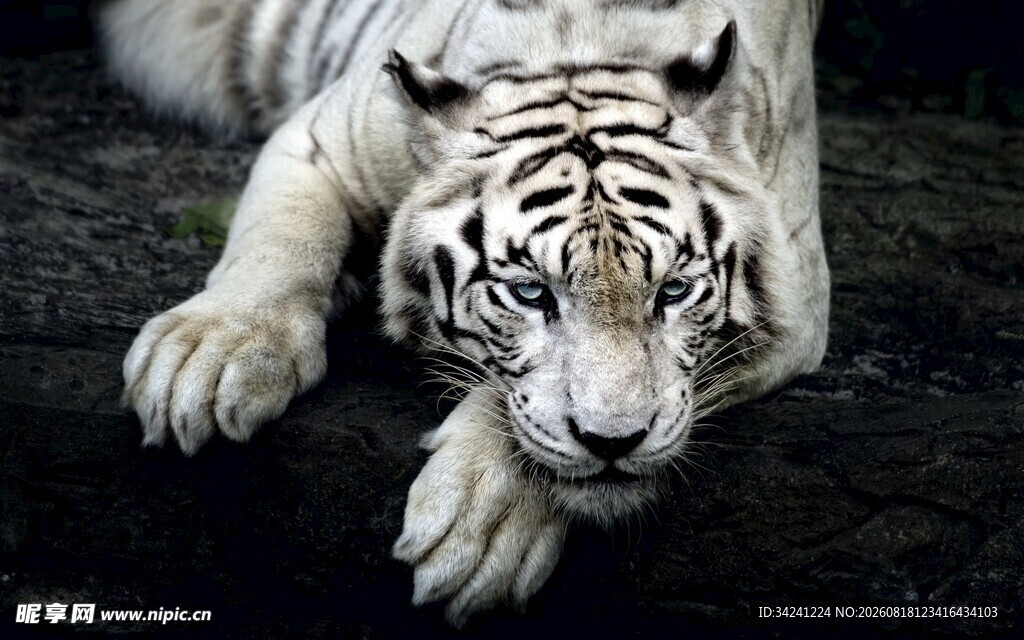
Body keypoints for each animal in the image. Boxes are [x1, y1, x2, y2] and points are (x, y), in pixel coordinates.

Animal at [102, 0, 829, 626]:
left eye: (673, 292)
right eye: (531, 293)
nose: (614, 444)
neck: (580, 44)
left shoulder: (797, 299)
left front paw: (480, 526)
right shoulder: (319, 140)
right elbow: (280, 240)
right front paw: (206, 360)